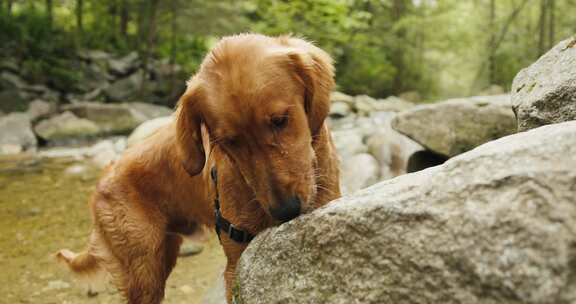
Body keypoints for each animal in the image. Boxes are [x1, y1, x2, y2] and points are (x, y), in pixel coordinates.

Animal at [55, 32, 340, 302]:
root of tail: (101, 182)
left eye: (280, 120)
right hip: (144, 272)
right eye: (230, 142)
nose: (286, 210)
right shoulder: (236, 263)